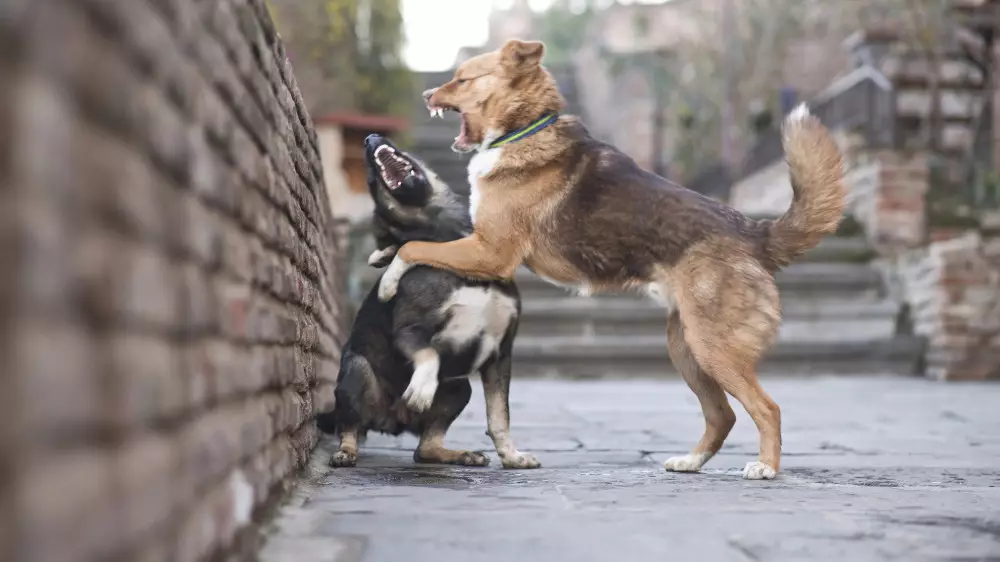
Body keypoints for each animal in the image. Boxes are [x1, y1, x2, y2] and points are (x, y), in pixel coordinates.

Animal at [318, 135, 540, 468]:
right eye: (370, 182)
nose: (369, 139)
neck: (456, 250)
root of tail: (392, 421)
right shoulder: (410, 330)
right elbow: (429, 354)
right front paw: (421, 388)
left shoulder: (500, 354)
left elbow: (500, 415)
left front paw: (512, 457)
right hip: (358, 372)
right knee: (350, 425)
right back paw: (346, 451)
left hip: (459, 388)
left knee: (424, 447)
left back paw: (459, 455)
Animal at [378, 40, 848, 476]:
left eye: (462, 79)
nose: (426, 94)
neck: (523, 128)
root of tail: (754, 233)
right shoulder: (479, 246)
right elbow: (413, 245)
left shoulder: (491, 251)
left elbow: (414, 248)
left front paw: (387, 281)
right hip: (686, 348)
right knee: (723, 415)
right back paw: (691, 461)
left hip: (714, 348)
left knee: (766, 408)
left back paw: (765, 466)